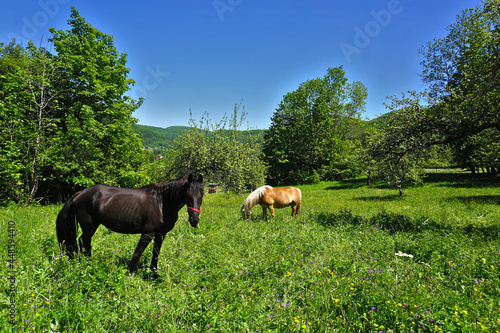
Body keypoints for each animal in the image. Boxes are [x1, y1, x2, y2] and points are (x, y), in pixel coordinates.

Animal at [54, 174, 203, 272]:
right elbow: (137, 253)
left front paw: (153, 273)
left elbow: (156, 253)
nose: (194, 221)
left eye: (202, 195)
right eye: (188, 195)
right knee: (84, 241)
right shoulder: (148, 233)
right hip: (88, 226)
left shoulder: (161, 234)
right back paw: (88, 263)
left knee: (83, 241)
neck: (162, 202)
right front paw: (128, 272)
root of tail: (79, 194)